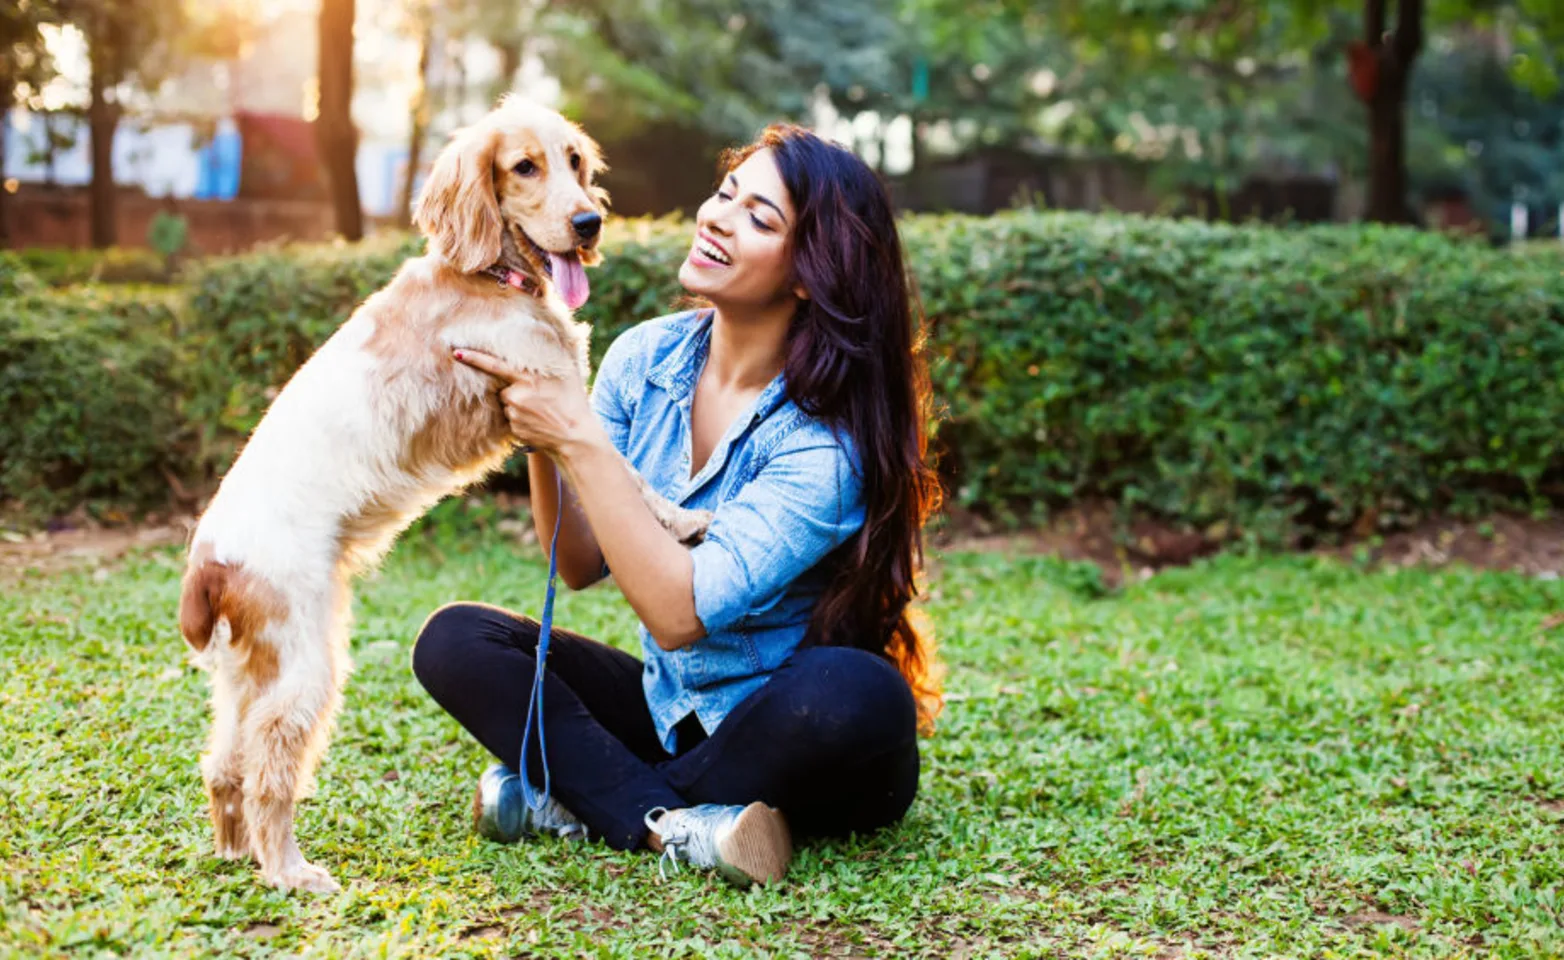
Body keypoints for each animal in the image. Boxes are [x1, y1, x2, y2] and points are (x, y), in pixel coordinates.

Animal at [175, 97, 710, 894]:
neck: (487, 276)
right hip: (305, 664)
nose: (589, 224)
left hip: (251, 671)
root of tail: (208, 558)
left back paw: (239, 852)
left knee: (224, 761)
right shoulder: (550, 395)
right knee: (270, 764)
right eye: (524, 167)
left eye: (575, 162)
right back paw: (291, 872)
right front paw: (681, 519)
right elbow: (633, 476)